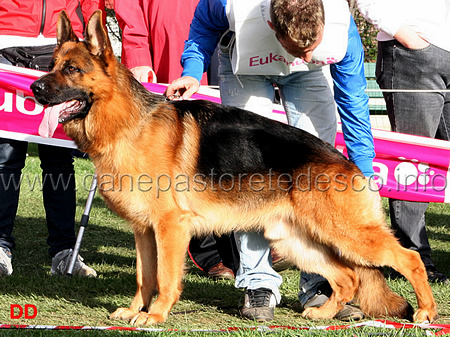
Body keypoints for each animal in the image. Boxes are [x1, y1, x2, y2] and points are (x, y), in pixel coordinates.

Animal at [30, 10, 436, 324]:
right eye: (51, 66)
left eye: (72, 69)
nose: (35, 89)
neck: (128, 122)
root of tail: (348, 163)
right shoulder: (144, 231)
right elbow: (144, 277)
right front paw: (134, 311)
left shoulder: (170, 228)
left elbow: (164, 278)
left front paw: (155, 316)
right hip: (297, 241)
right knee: (348, 277)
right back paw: (323, 313)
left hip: (346, 234)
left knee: (409, 258)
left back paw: (426, 312)